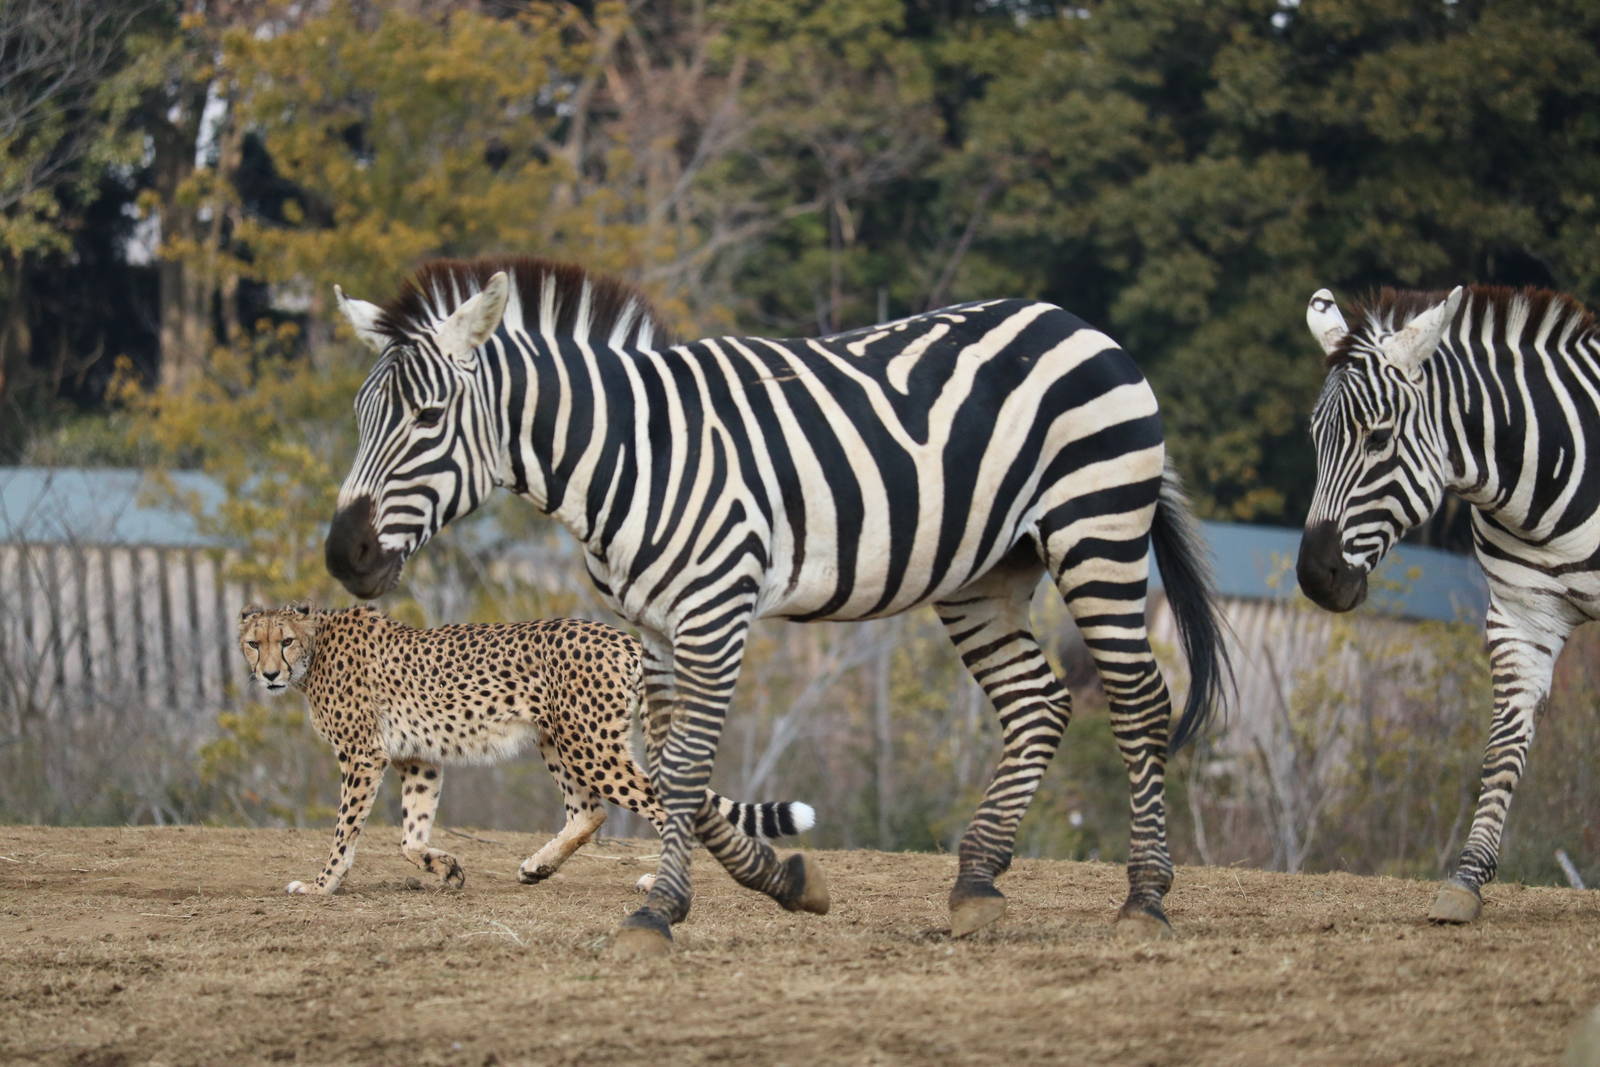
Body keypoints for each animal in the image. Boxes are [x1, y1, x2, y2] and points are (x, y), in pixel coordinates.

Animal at [237, 603, 813, 896]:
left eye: (283, 642)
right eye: (252, 643)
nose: (268, 674)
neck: (314, 648)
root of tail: (618, 635)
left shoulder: (362, 756)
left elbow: (345, 831)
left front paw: (321, 884)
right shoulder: (418, 759)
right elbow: (409, 835)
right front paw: (445, 867)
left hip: (589, 745)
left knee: (654, 802)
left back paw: (655, 879)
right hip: (557, 741)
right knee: (588, 812)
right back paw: (539, 867)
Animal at [323, 256, 1231, 953]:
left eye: (428, 417)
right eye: (360, 416)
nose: (342, 553)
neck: (630, 453)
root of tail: (1075, 321)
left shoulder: (715, 611)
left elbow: (686, 767)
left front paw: (660, 911)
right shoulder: (654, 629)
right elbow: (672, 766)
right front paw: (784, 878)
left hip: (1096, 530)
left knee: (1140, 701)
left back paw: (1145, 897)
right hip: (985, 575)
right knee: (1037, 701)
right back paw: (976, 882)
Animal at [1299, 282, 1600, 922]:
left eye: (1379, 436)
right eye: (1316, 439)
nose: (1315, 577)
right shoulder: (1521, 615)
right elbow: (1504, 746)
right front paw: (1465, 881)